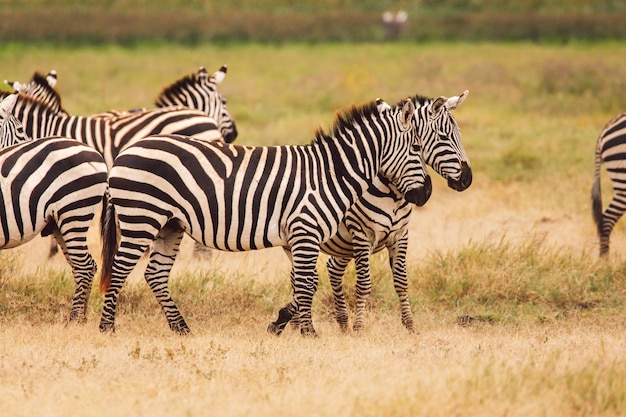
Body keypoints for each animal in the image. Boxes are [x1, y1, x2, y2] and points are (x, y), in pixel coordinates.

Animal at [0, 92, 107, 322]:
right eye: (21, 130)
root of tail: (97, 155)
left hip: (74, 212)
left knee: (85, 267)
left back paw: (74, 320)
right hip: (60, 222)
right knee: (83, 266)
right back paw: (82, 317)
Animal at [97, 97, 432, 334]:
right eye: (416, 147)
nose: (426, 194)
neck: (329, 174)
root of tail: (125, 153)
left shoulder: (298, 238)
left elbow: (304, 283)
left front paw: (289, 326)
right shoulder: (305, 230)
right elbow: (307, 282)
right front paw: (308, 333)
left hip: (169, 224)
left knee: (155, 274)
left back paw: (181, 328)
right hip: (142, 216)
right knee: (120, 267)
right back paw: (107, 327)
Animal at [286, 90, 470, 332]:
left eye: (459, 135)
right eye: (443, 137)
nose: (467, 179)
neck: (394, 193)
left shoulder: (401, 234)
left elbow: (401, 282)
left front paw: (410, 326)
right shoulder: (361, 233)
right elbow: (364, 284)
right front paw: (359, 327)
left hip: (341, 245)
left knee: (331, 269)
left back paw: (339, 320)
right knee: (298, 276)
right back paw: (296, 322)